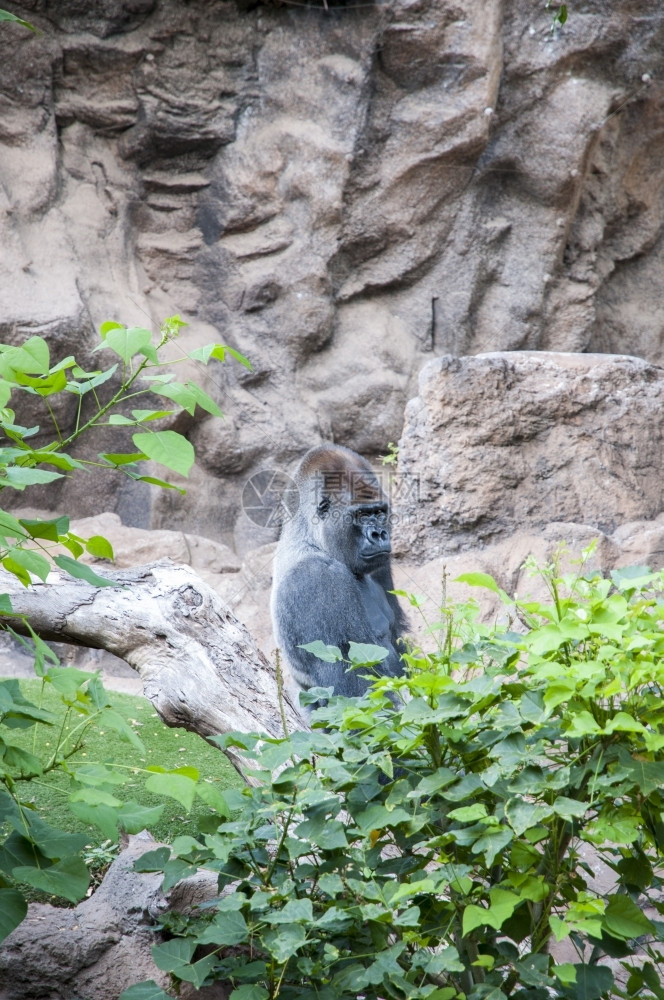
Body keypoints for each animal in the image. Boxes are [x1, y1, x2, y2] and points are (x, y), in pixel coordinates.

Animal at [272, 446, 408, 696]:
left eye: (380, 512)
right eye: (362, 515)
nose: (379, 534)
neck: (311, 539)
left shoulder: (381, 567)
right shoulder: (317, 578)